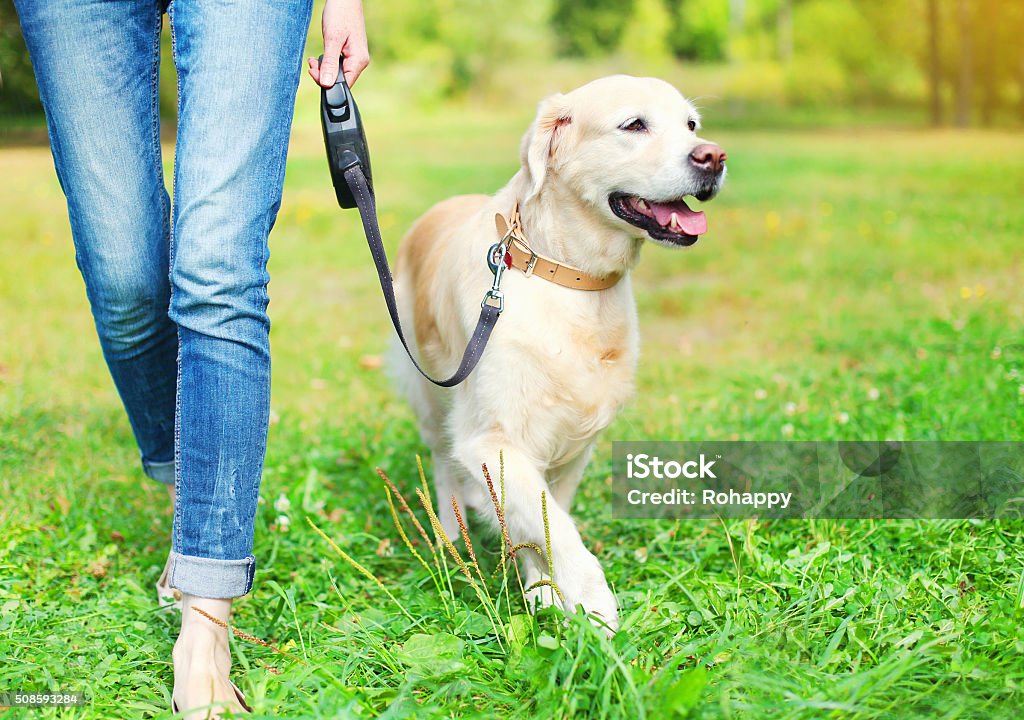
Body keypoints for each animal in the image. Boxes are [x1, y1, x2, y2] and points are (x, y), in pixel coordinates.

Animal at [387, 75, 724, 634]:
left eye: (692, 124)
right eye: (634, 124)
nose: (714, 157)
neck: (568, 275)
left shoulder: (575, 440)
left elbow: (544, 518)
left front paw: (544, 588)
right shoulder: (491, 437)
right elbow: (557, 528)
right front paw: (593, 606)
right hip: (431, 395)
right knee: (442, 462)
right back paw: (451, 533)